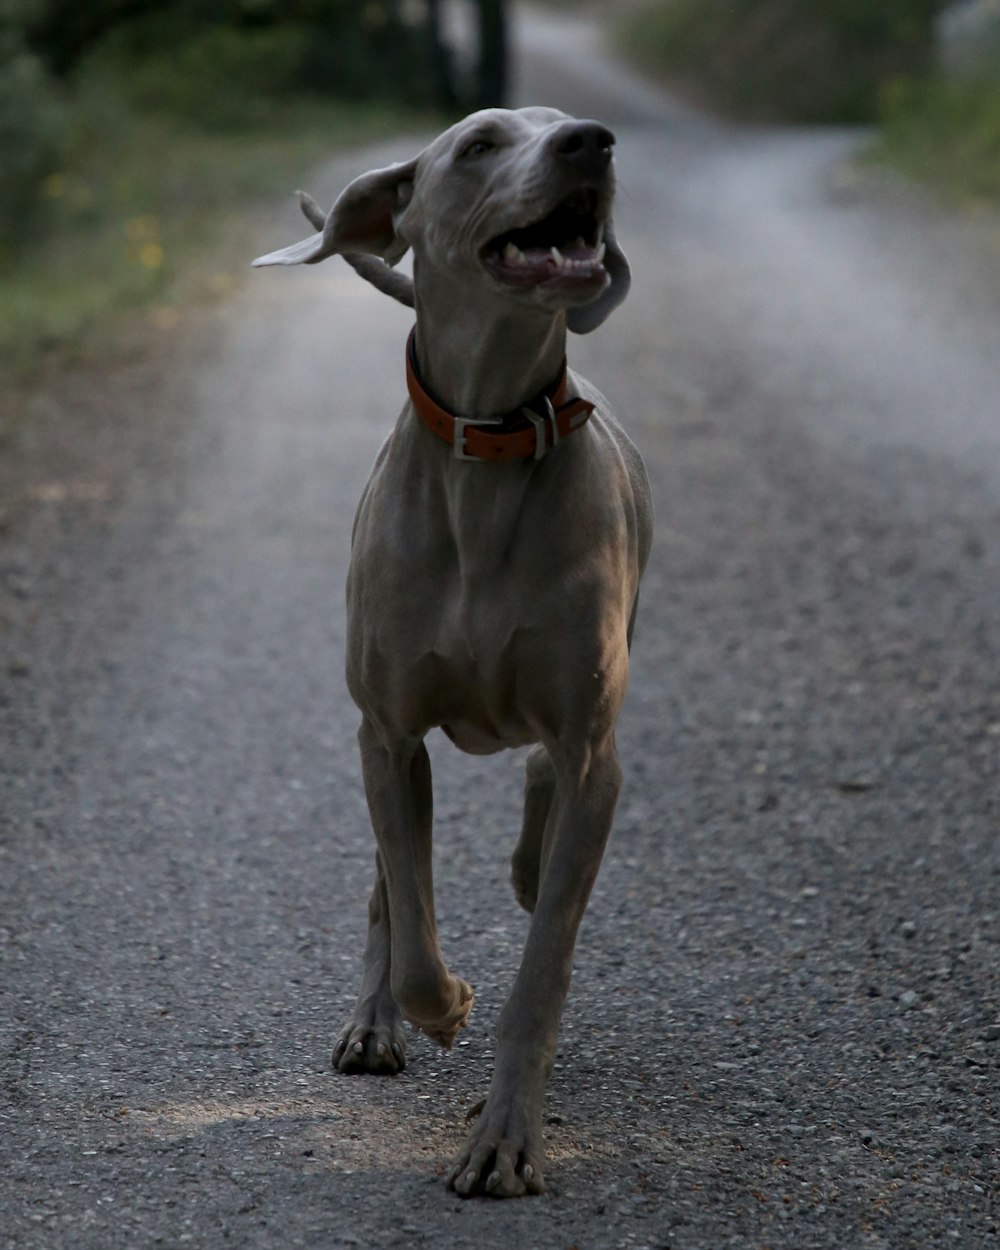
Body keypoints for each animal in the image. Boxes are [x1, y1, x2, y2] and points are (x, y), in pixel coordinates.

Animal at [253, 110, 650, 1200]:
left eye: (567, 126)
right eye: (479, 144)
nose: (592, 142)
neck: (493, 437)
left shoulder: (591, 743)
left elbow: (544, 966)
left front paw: (506, 1140)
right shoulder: (389, 733)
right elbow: (417, 930)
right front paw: (438, 1004)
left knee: (542, 801)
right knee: (390, 885)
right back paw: (374, 1022)